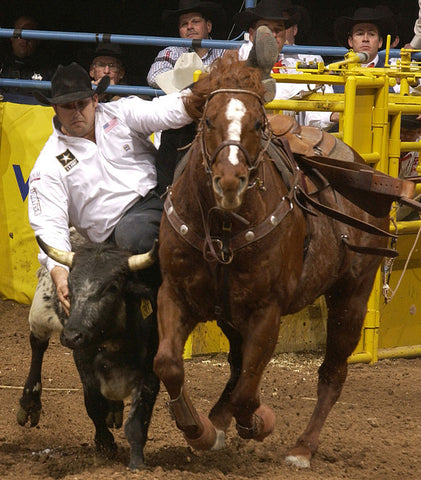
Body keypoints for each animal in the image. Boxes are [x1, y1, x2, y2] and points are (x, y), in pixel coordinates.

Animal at [153, 57, 394, 468]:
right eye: (208, 121)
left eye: (257, 124)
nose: (229, 180)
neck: (223, 225)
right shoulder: (175, 293)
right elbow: (168, 363)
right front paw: (199, 430)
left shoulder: (267, 310)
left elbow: (248, 391)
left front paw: (256, 422)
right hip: (231, 314)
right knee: (237, 365)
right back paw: (218, 421)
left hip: (352, 297)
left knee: (332, 374)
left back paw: (302, 448)